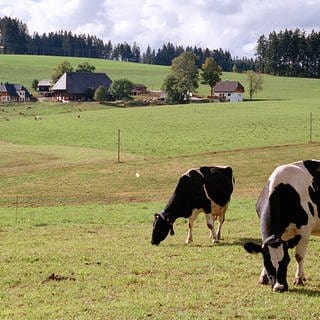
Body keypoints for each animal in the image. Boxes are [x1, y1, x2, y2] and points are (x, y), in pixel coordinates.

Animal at [244, 160, 320, 292]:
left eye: (286, 261)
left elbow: (299, 256)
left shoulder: (304, 231)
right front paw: (262, 278)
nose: (279, 287)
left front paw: (299, 279)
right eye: (267, 263)